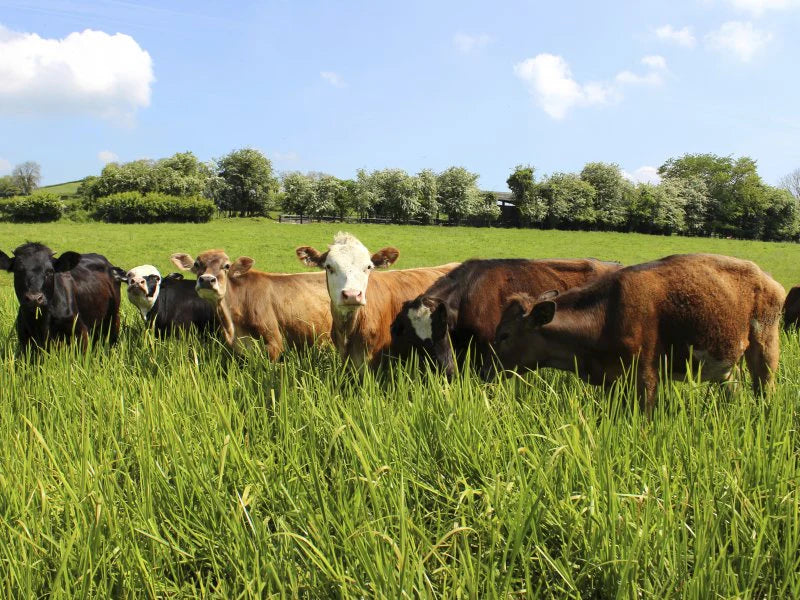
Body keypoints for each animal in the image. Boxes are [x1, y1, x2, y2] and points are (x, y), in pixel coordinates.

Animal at [490, 253, 785, 413]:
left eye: (504, 335)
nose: (484, 370)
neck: (606, 314)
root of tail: (769, 278)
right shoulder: (613, 380)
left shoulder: (646, 375)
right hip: (725, 360)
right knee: (733, 386)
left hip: (765, 345)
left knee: (765, 388)